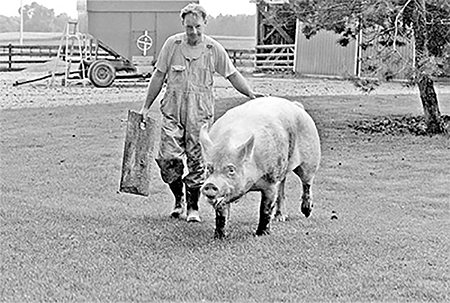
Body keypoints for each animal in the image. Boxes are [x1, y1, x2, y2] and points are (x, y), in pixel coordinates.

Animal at [200, 97, 320, 240]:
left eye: (231, 170)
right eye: (209, 168)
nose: (210, 184)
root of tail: (297, 106)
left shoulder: (271, 181)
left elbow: (265, 208)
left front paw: (261, 234)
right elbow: (221, 214)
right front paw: (219, 237)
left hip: (310, 158)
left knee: (306, 182)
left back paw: (306, 212)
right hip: (283, 168)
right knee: (282, 186)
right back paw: (280, 218)